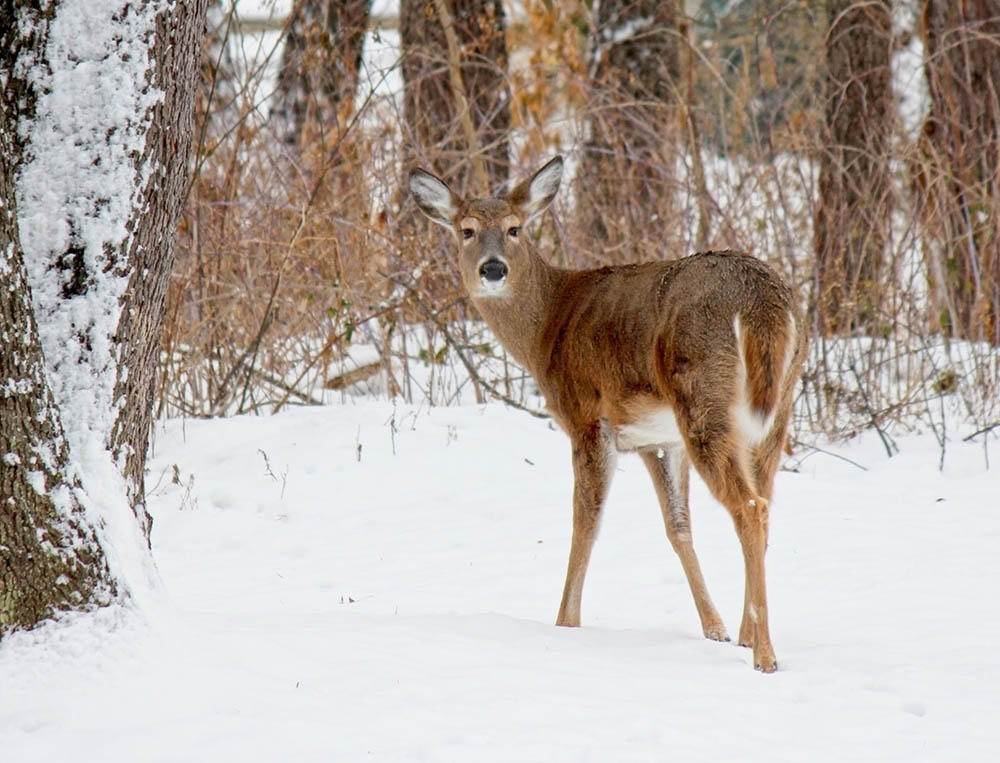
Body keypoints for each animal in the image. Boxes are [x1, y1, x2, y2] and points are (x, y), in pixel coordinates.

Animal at [406, 157, 804, 676]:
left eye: (514, 228)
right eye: (466, 230)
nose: (492, 268)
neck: (546, 327)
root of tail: (761, 302)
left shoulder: (586, 417)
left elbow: (585, 523)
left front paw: (564, 623)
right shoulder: (657, 439)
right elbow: (677, 527)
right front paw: (714, 629)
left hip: (703, 395)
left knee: (751, 506)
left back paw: (765, 656)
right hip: (774, 411)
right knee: (764, 501)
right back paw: (746, 634)